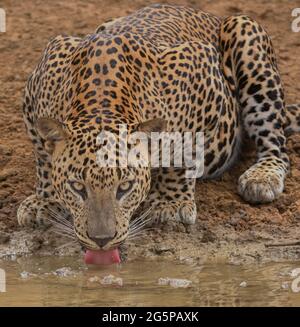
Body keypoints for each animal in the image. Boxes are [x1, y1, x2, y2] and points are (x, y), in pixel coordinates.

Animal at [17, 4, 300, 251]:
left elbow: (183, 144)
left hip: (246, 37)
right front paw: (45, 199)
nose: (101, 240)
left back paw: (262, 176)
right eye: (77, 187)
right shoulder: (36, 87)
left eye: (125, 187)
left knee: (275, 143)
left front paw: (170, 202)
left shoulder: (200, 68)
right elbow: (44, 157)